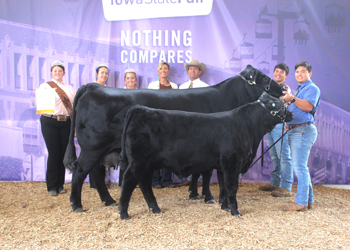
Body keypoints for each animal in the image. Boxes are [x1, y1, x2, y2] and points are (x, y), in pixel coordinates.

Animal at [63, 65, 284, 213]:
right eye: (263, 77)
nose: (283, 89)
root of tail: (91, 86)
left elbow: (199, 172)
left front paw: (195, 193)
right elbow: (206, 173)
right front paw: (209, 197)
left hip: (101, 150)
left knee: (96, 173)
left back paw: (108, 200)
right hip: (93, 148)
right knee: (81, 172)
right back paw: (77, 204)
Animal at [119, 93, 294, 220]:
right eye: (274, 104)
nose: (291, 113)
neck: (248, 127)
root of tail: (140, 109)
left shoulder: (223, 165)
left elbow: (224, 187)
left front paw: (225, 207)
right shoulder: (233, 162)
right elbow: (232, 187)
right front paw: (235, 212)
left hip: (145, 163)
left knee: (143, 183)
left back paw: (154, 209)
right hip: (139, 161)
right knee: (129, 181)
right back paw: (124, 213)